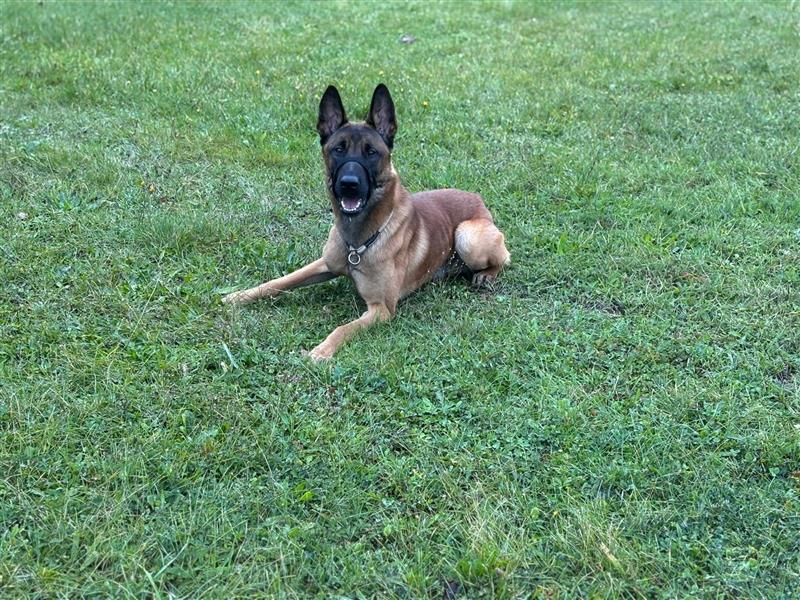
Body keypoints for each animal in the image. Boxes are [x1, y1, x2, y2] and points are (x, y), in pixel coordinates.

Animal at [222, 82, 510, 358]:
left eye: (371, 152)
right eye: (338, 149)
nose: (349, 184)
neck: (359, 242)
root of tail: (478, 199)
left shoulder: (382, 309)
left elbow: (343, 328)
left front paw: (321, 351)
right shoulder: (324, 263)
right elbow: (279, 282)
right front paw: (237, 296)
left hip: (467, 236)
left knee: (505, 258)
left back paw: (486, 275)